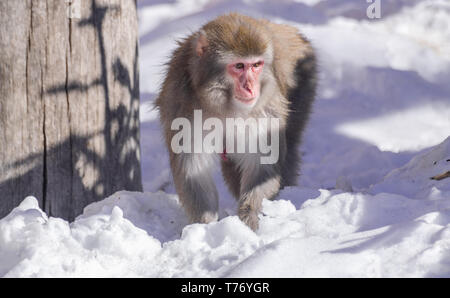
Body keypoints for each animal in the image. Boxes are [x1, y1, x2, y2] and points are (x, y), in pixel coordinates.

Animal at [155, 12, 316, 232]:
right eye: (239, 66)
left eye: (256, 65)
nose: (250, 88)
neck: (225, 107)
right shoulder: (180, 106)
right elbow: (193, 171)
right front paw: (205, 227)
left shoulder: (266, 110)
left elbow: (261, 166)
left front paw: (248, 220)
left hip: (303, 82)